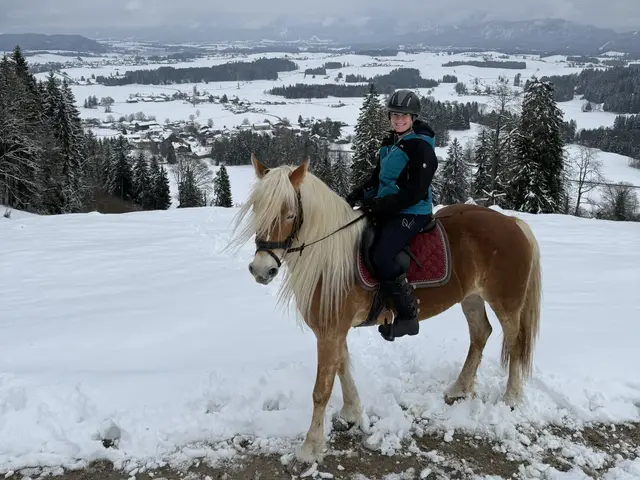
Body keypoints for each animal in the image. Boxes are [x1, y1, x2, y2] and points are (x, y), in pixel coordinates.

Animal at [229, 153, 542, 464]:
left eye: (290, 213)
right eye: (257, 208)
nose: (261, 269)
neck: (330, 258)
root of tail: (513, 222)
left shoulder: (330, 331)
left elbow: (322, 390)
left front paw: (310, 447)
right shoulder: (334, 331)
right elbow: (343, 368)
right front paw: (352, 413)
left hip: (506, 303)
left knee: (514, 343)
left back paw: (511, 397)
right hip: (472, 298)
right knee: (480, 334)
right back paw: (459, 388)